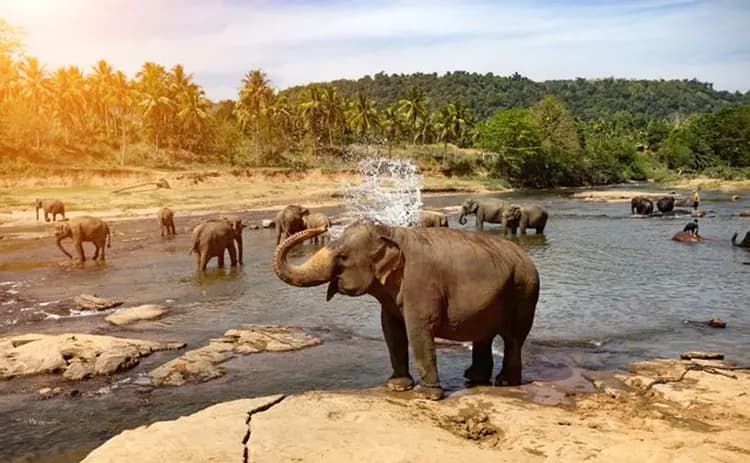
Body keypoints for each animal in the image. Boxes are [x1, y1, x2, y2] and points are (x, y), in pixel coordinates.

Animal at [273, 221, 540, 400]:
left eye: (343, 256)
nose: (322, 227)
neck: (390, 231)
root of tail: (526, 257)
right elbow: (391, 329)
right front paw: (397, 386)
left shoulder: (421, 282)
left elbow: (418, 329)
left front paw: (428, 396)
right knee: (484, 336)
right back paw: (474, 377)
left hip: (525, 291)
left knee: (513, 337)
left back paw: (504, 382)